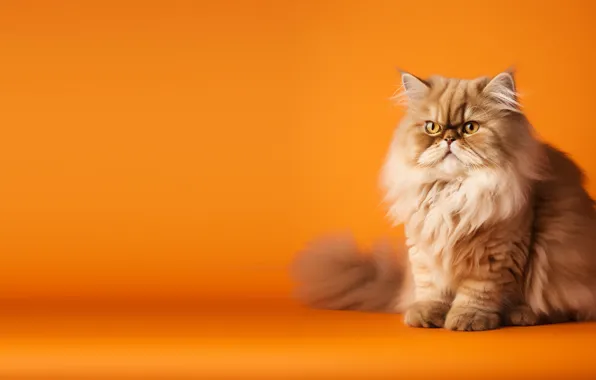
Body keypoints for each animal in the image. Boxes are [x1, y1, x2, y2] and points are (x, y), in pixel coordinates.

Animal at [292, 70, 596, 330]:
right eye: (432, 127)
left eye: (470, 127)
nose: (449, 138)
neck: (451, 191)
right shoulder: (423, 249)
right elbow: (431, 289)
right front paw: (427, 314)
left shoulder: (497, 254)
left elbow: (478, 293)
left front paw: (468, 319)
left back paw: (524, 315)